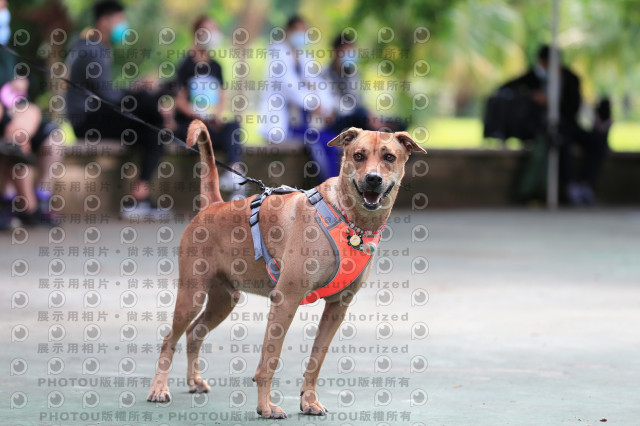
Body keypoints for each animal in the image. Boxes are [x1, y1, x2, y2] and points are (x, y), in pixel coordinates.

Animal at [147, 120, 426, 418]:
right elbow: (269, 360)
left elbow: (316, 359)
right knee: (169, 339)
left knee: (194, 333)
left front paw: (309, 401)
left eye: (389, 157)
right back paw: (159, 388)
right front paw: (265, 407)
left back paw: (194, 381)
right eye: (358, 155)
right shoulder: (286, 300)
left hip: (224, 300)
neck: (349, 220)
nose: (373, 179)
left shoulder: (337, 307)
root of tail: (214, 205)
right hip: (192, 294)